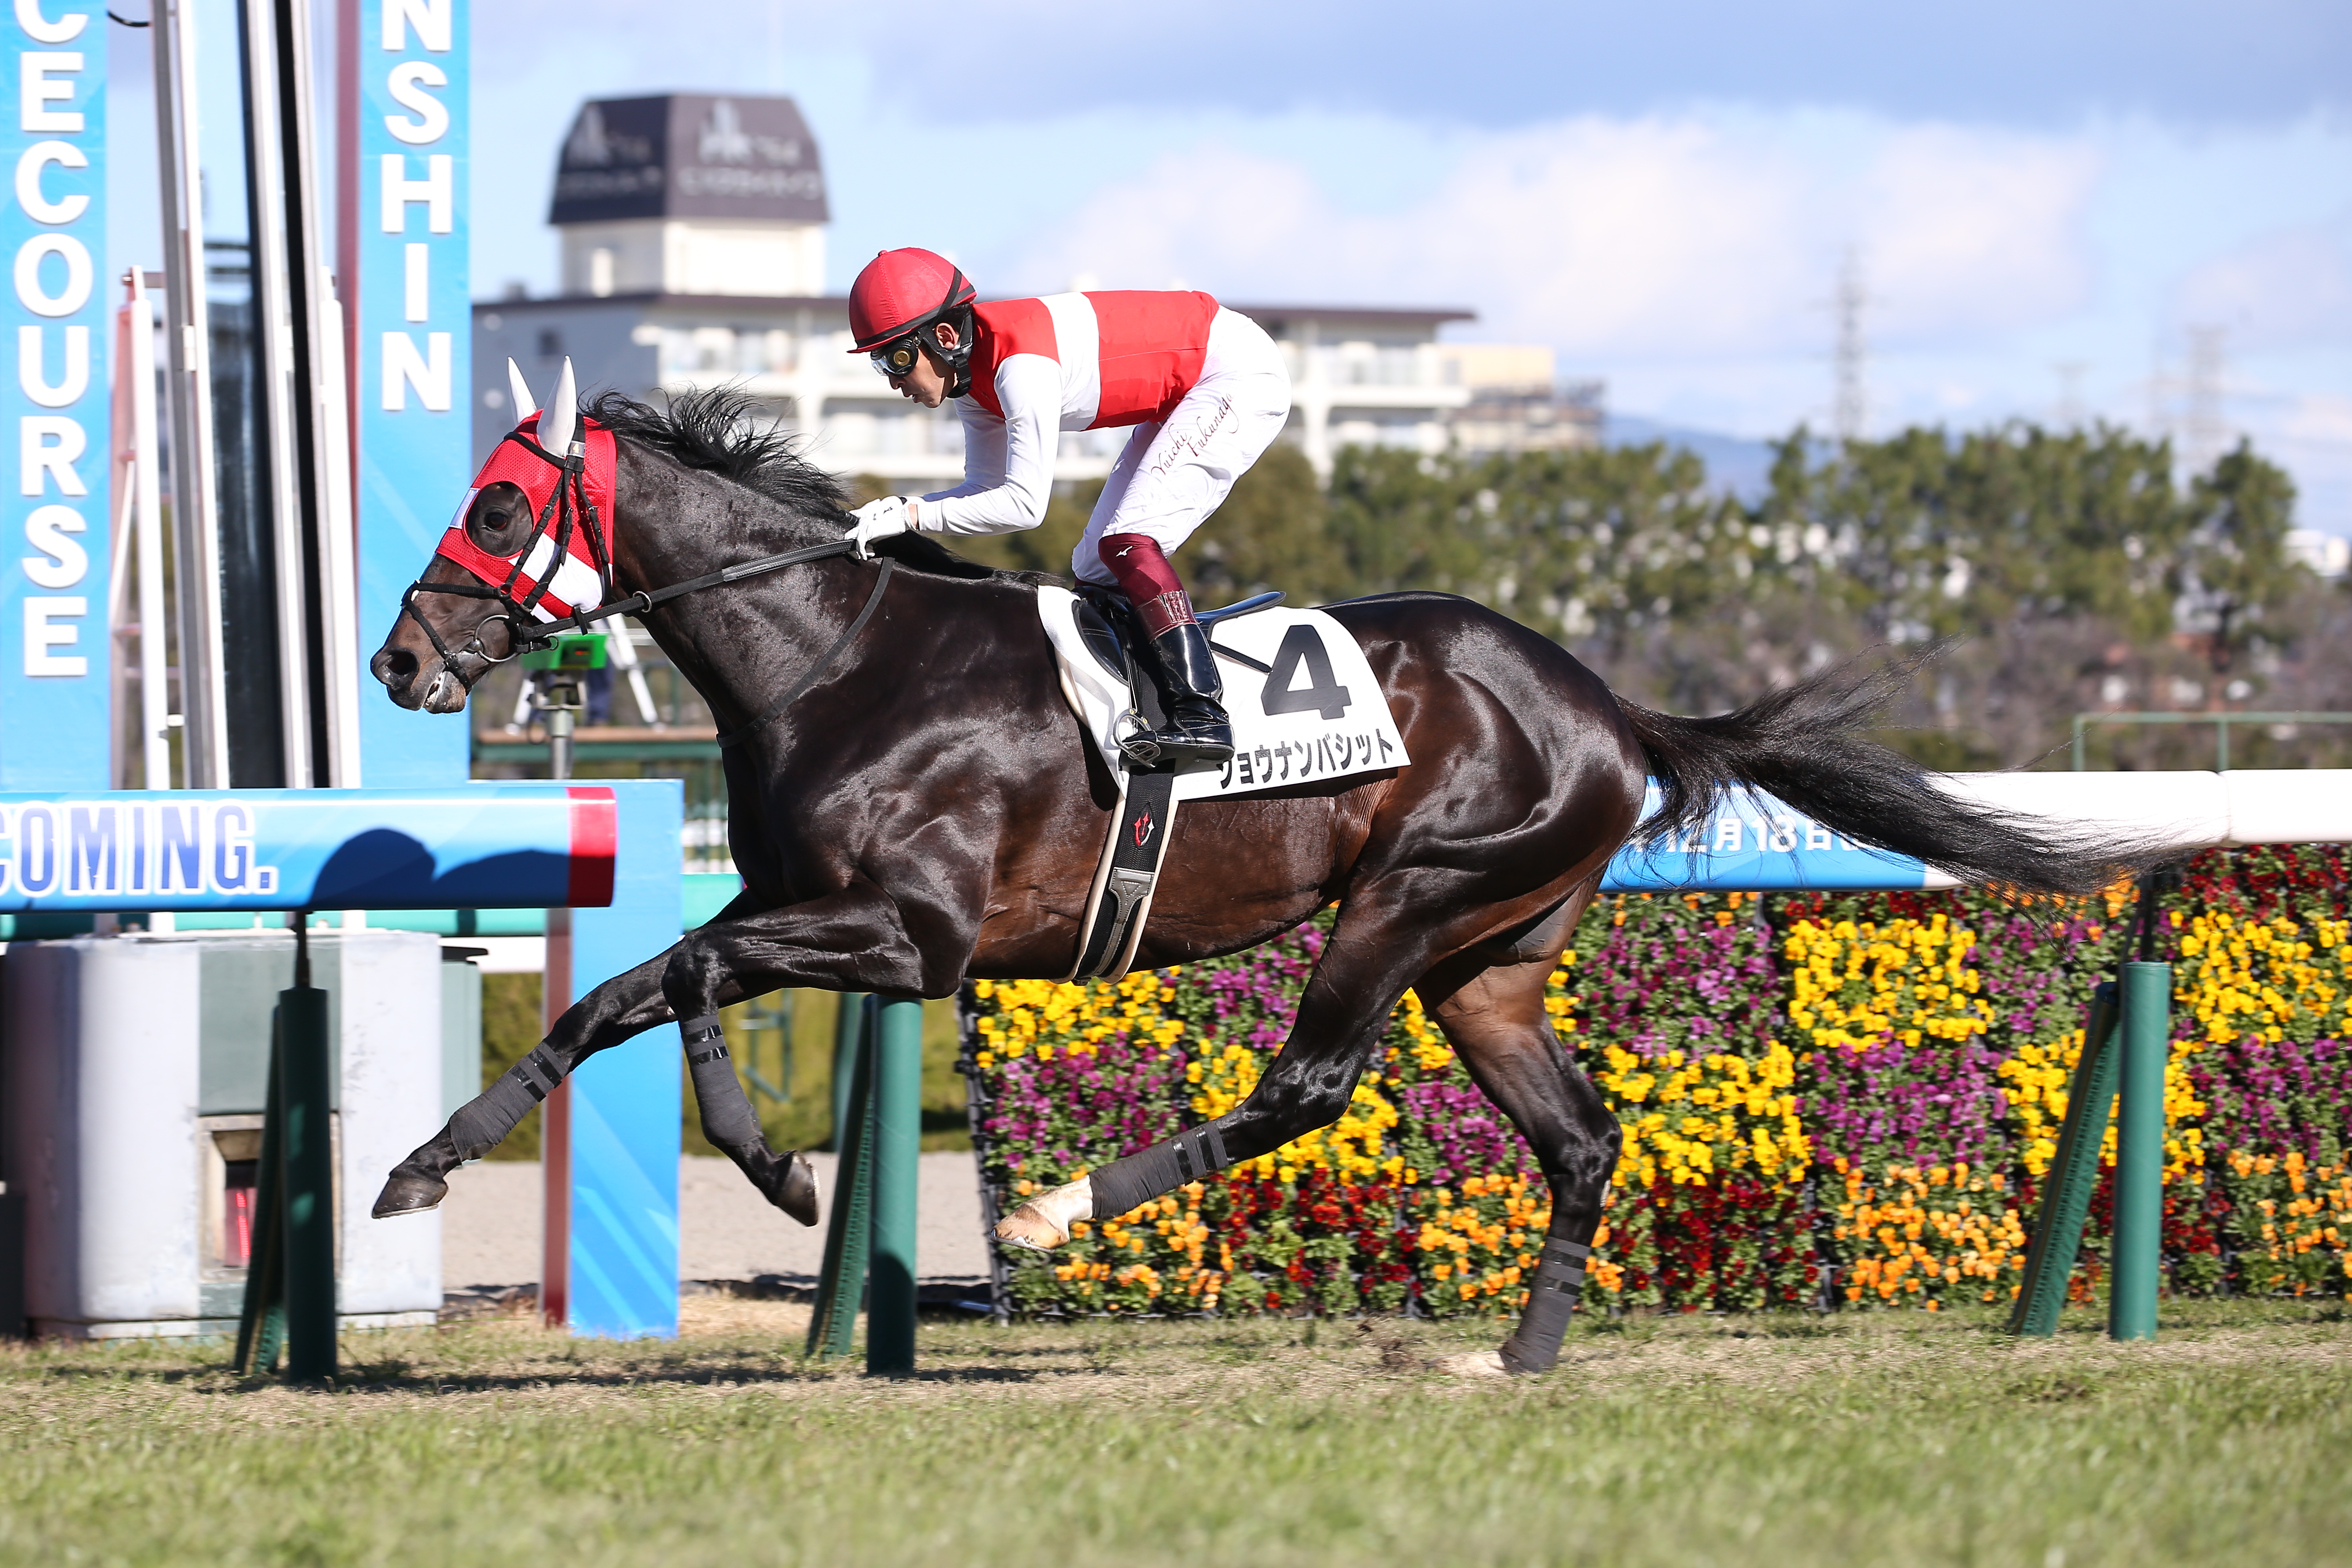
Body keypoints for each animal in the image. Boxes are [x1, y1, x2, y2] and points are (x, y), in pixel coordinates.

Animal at [376, 390, 2145, 1372]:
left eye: (499, 505)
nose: (400, 658)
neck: (839, 659)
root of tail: (1605, 702)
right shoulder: (795, 911)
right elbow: (619, 991)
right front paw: (424, 1164)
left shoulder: (911, 938)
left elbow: (674, 979)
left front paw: (772, 1166)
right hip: (1489, 959)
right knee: (1578, 1135)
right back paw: (1523, 1353)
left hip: (1412, 894)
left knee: (1309, 1080)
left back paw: (1061, 1203)